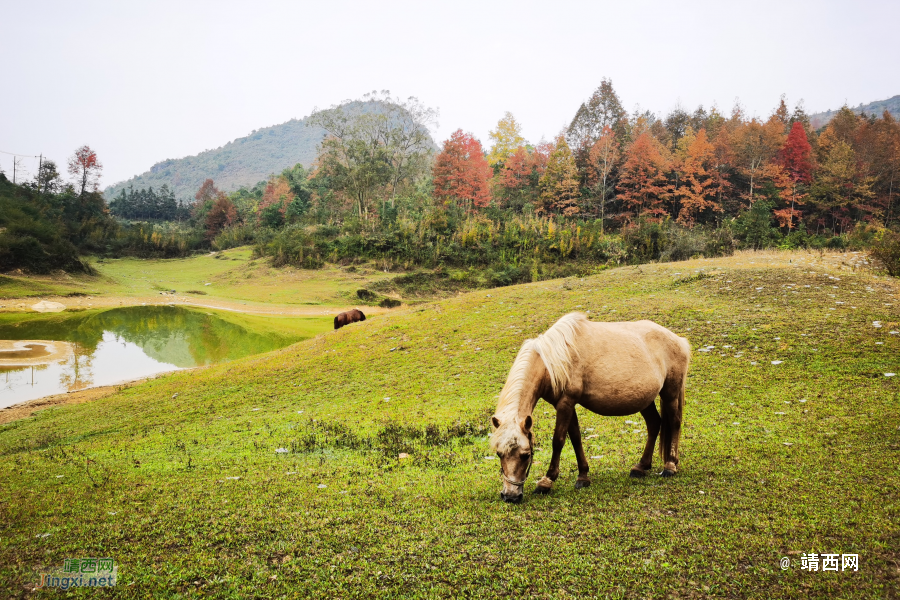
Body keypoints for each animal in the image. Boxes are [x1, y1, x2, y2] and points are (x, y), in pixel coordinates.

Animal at [492, 312, 688, 504]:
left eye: (526, 455)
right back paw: (641, 467)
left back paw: (670, 465)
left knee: (674, 423)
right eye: (499, 454)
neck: (554, 360)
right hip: (645, 400)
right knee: (654, 424)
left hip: (670, 394)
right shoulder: (566, 404)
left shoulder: (566, 403)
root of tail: (679, 340)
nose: (510, 496)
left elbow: (558, 440)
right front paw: (583, 476)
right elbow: (576, 438)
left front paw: (546, 482)